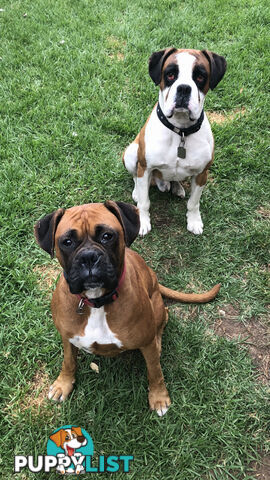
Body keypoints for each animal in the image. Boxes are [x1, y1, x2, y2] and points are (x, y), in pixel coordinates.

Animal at [34, 201, 220, 414]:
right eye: (67, 241)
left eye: (107, 236)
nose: (89, 257)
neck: (97, 302)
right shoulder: (67, 337)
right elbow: (68, 361)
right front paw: (62, 384)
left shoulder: (146, 343)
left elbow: (155, 372)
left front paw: (159, 397)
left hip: (157, 307)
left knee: (163, 320)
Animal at [123, 47, 227, 235]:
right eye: (170, 74)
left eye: (200, 76)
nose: (184, 88)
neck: (181, 131)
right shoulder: (145, 167)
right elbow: (144, 201)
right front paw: (142, 221)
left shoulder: (202, 174)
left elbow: (194, 203)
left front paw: (194, 221)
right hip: (131, 153)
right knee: (136, 178)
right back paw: (136, 192)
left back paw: (177, 187)